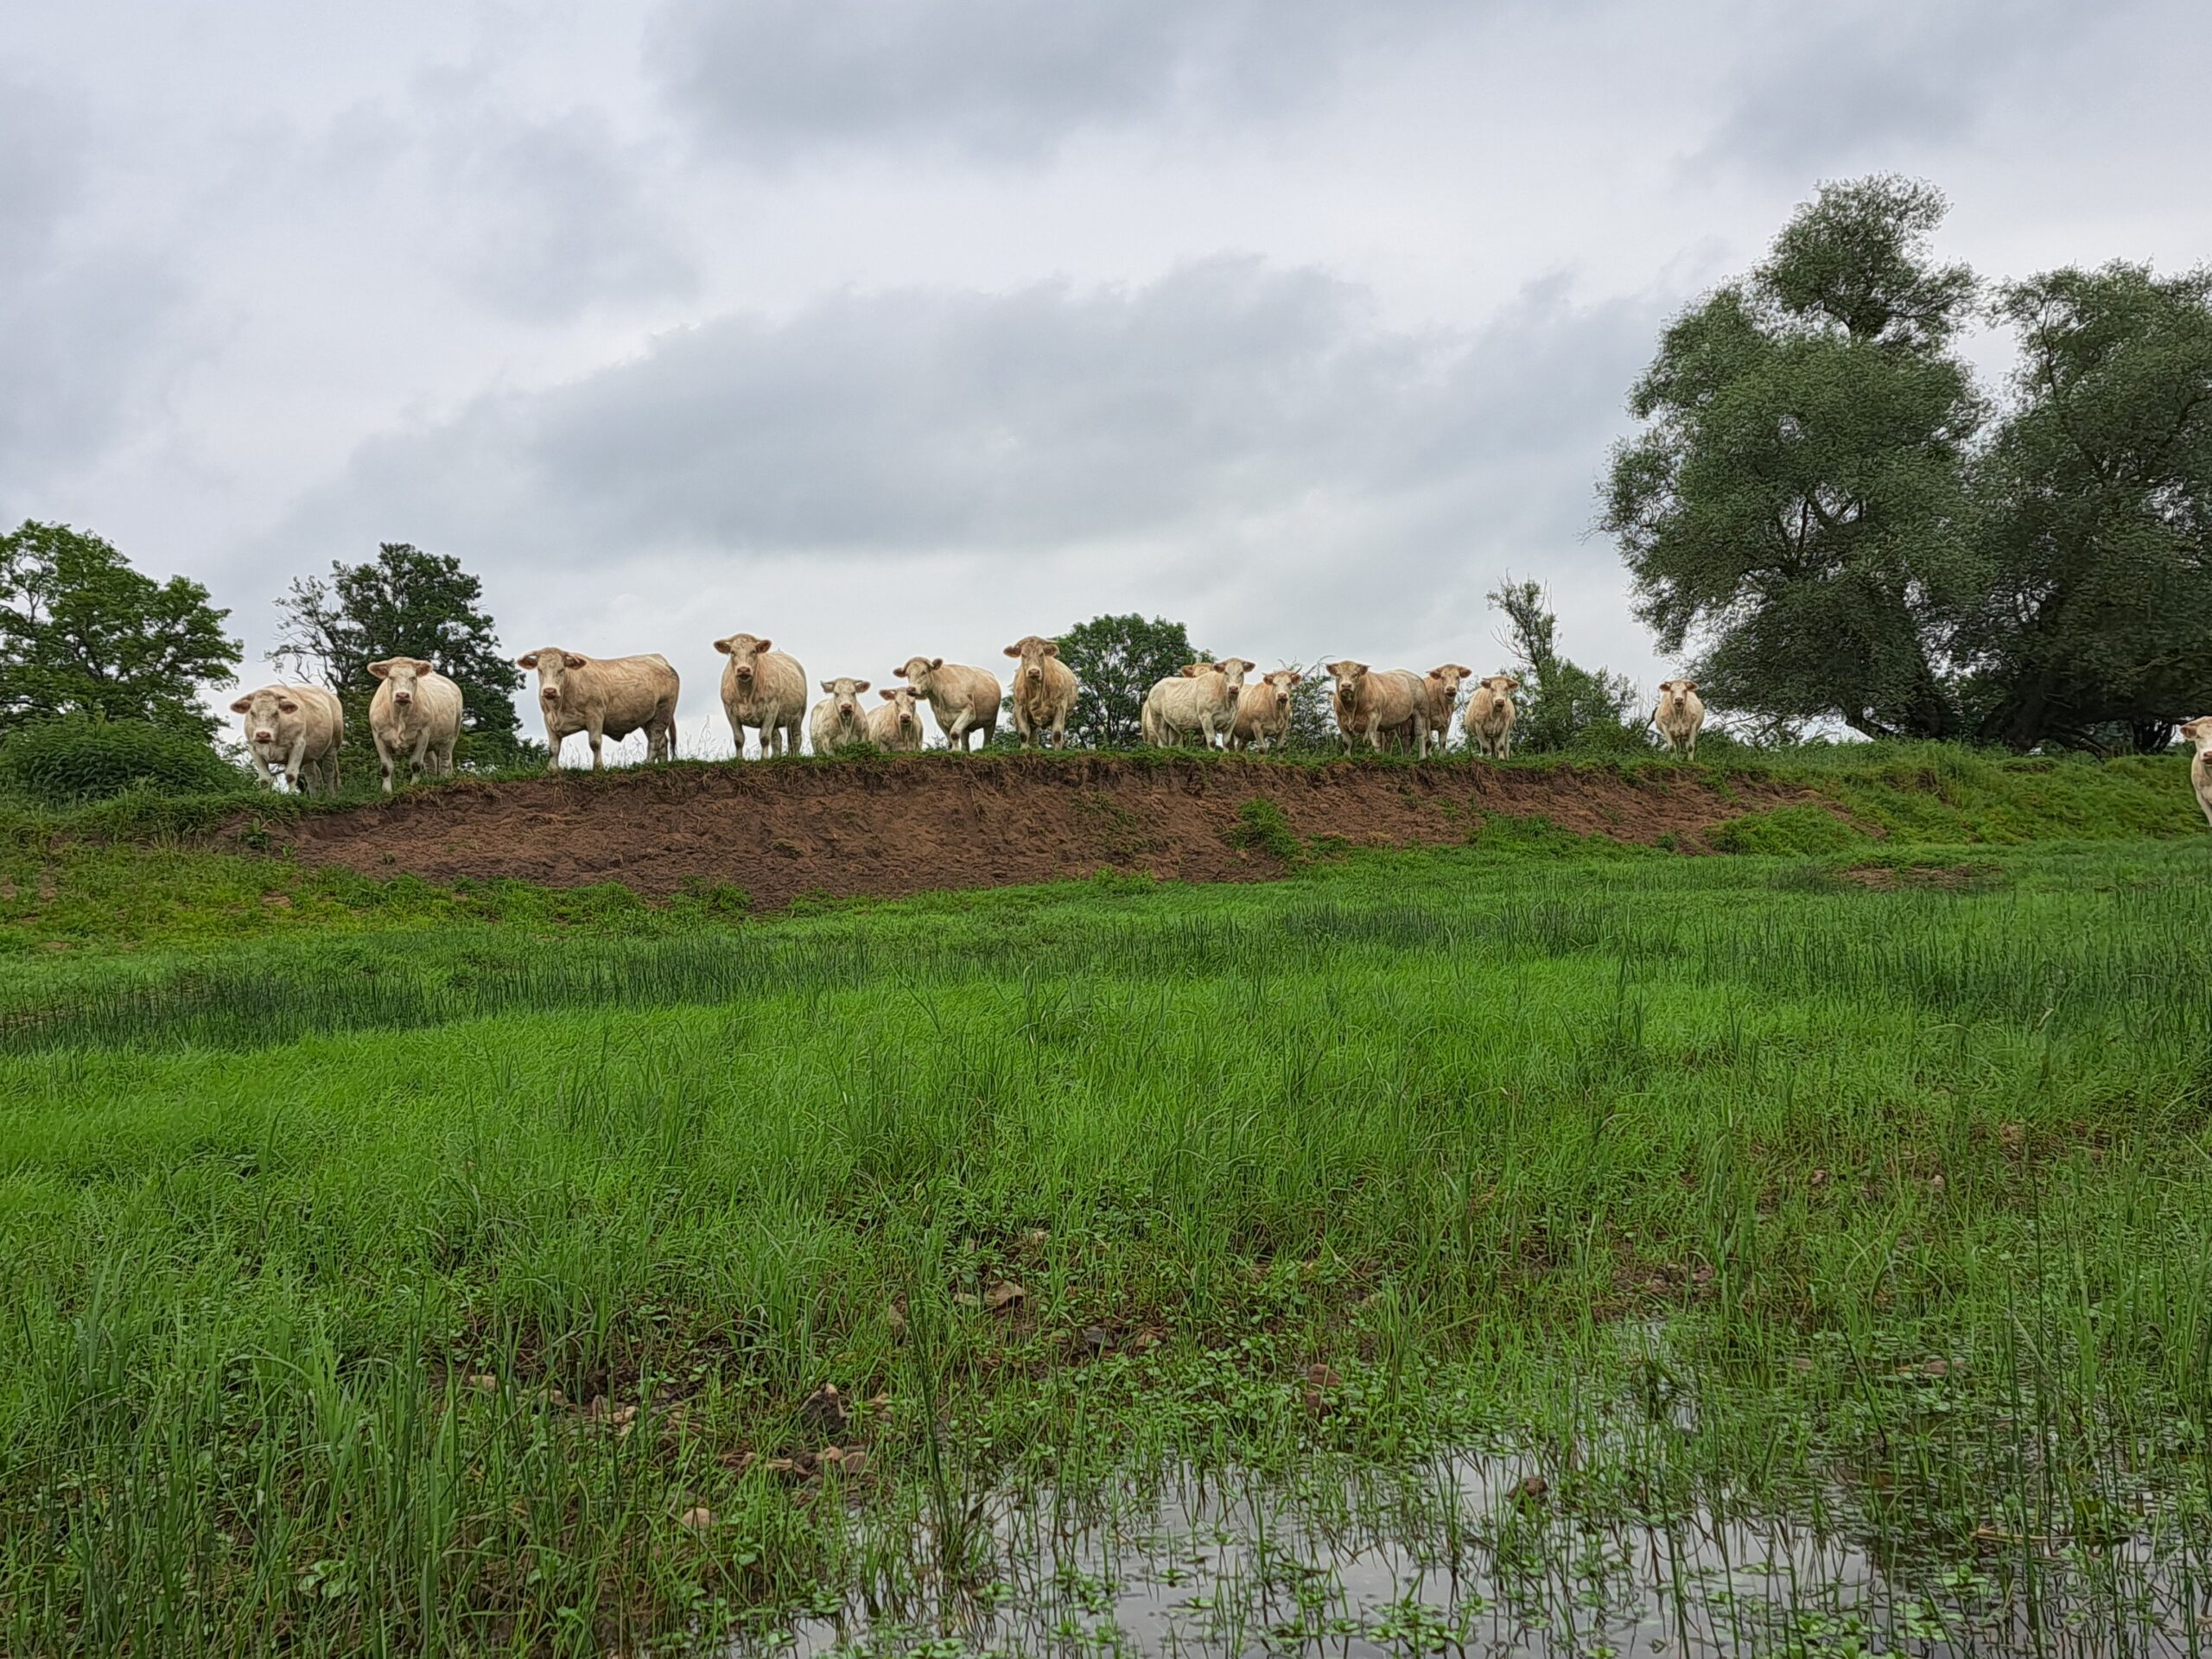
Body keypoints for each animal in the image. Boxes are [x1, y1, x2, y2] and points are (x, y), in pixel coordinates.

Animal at [231, 683, 344, 795]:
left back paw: (331, 796)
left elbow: (291, 775)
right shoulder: (253, 748)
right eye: (252, 713)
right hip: (309, 753)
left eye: (276, 713)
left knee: (328, 772)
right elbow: (265, 779)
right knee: (313, 776)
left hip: (333, 745)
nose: (263, 734)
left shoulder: (298, 744)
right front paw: (265, 796)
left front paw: (292, 796)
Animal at [367, 657, 463, 793]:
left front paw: (414, 786)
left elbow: (416, 764)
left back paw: (445, 780)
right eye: (391, 677)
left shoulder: (423, 733)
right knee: (431, 763)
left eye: (413, 677)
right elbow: (386, 767)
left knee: (445, 760)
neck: (400, 717)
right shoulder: (378, 735)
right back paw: (432, 782)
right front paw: (387, 791)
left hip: (452, 735)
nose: (402, 695)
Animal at [515, 648, 680, 770]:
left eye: (562, 670)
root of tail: (660, 660)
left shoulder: (595, 714)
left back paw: (648, 764)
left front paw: (599, 767)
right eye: (540, 670)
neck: (559, 708)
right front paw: (552, 769)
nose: (549, 691)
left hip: (663, 710)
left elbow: (595, 743)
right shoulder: (548, 720)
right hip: (648, 719)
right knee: (662, 741)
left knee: (655, 740)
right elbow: (553, 748)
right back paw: (662, 765)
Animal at [714, 633, 807, 758]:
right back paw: (776, 757)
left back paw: (793, 757)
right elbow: (738, 739)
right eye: (733, 652)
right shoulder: (730, 711)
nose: (743, 669)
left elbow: (764, 738)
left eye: (753, 651)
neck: (746, 695)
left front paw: (764, 758)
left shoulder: (771, 708)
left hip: (798, 714)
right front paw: (739, 758)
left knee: (795, 738)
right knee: (777, 739)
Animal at [1003, 635, 1079, 750]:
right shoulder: (1019, 707)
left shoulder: (1060, 706)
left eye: (1041, 654)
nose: (1034, 671)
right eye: (1023, 655)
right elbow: (1024, 734)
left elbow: (1057, 735)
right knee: (1033, 739)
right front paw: (1024, 750)